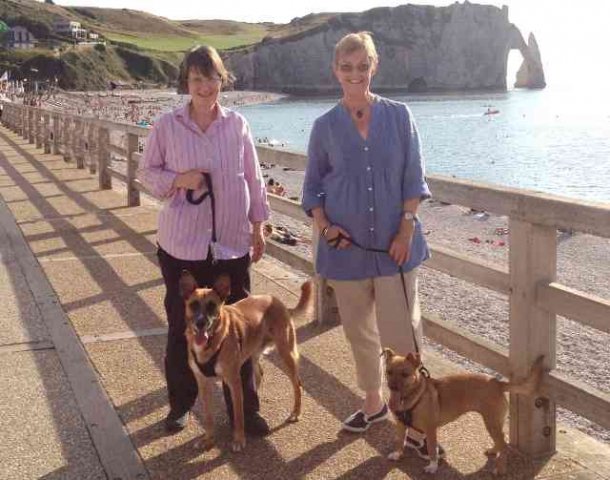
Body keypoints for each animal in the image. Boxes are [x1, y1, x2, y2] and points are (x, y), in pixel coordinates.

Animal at [176, 272, 308, 452]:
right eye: (194, 305)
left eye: (211, 306)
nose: (200, 323)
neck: (211, 342)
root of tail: (275, 300)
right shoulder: (203, 383)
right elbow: (208, 417)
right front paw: (208, 439)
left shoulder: (233, 380)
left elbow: (238, 415)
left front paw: (239, 439)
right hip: (253, 355)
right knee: (259, 374)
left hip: (286, 354)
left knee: (297, 384)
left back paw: (295, 413)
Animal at [382, 350, 544, 474]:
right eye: (388, 372)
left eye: (405, 374)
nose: (392, 387)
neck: (413, 397)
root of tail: (498, 383)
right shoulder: (401, 425)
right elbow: (399, 441)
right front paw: (397, 454)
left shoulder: (430, 430)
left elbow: (432, 450)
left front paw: (433, 467)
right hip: (494, 423)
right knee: (501, 441)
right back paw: (493, 451)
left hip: (491, 422)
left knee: (504, 445)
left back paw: (500, 469)